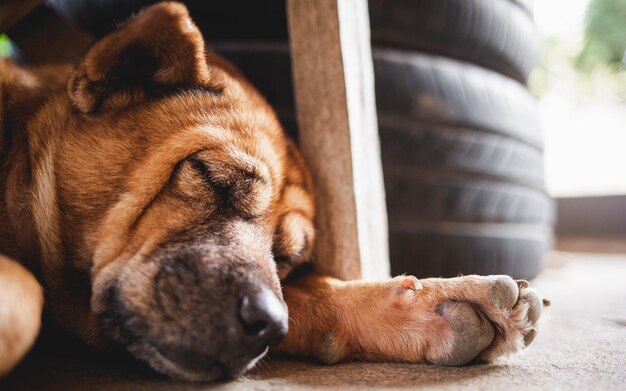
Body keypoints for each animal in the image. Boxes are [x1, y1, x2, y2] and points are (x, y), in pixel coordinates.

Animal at [0, 2, 544, 382]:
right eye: (210, 176)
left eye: (286, 258)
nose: (270, 325)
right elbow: (24, 291)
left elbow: (316, 290)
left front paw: (433, 305)